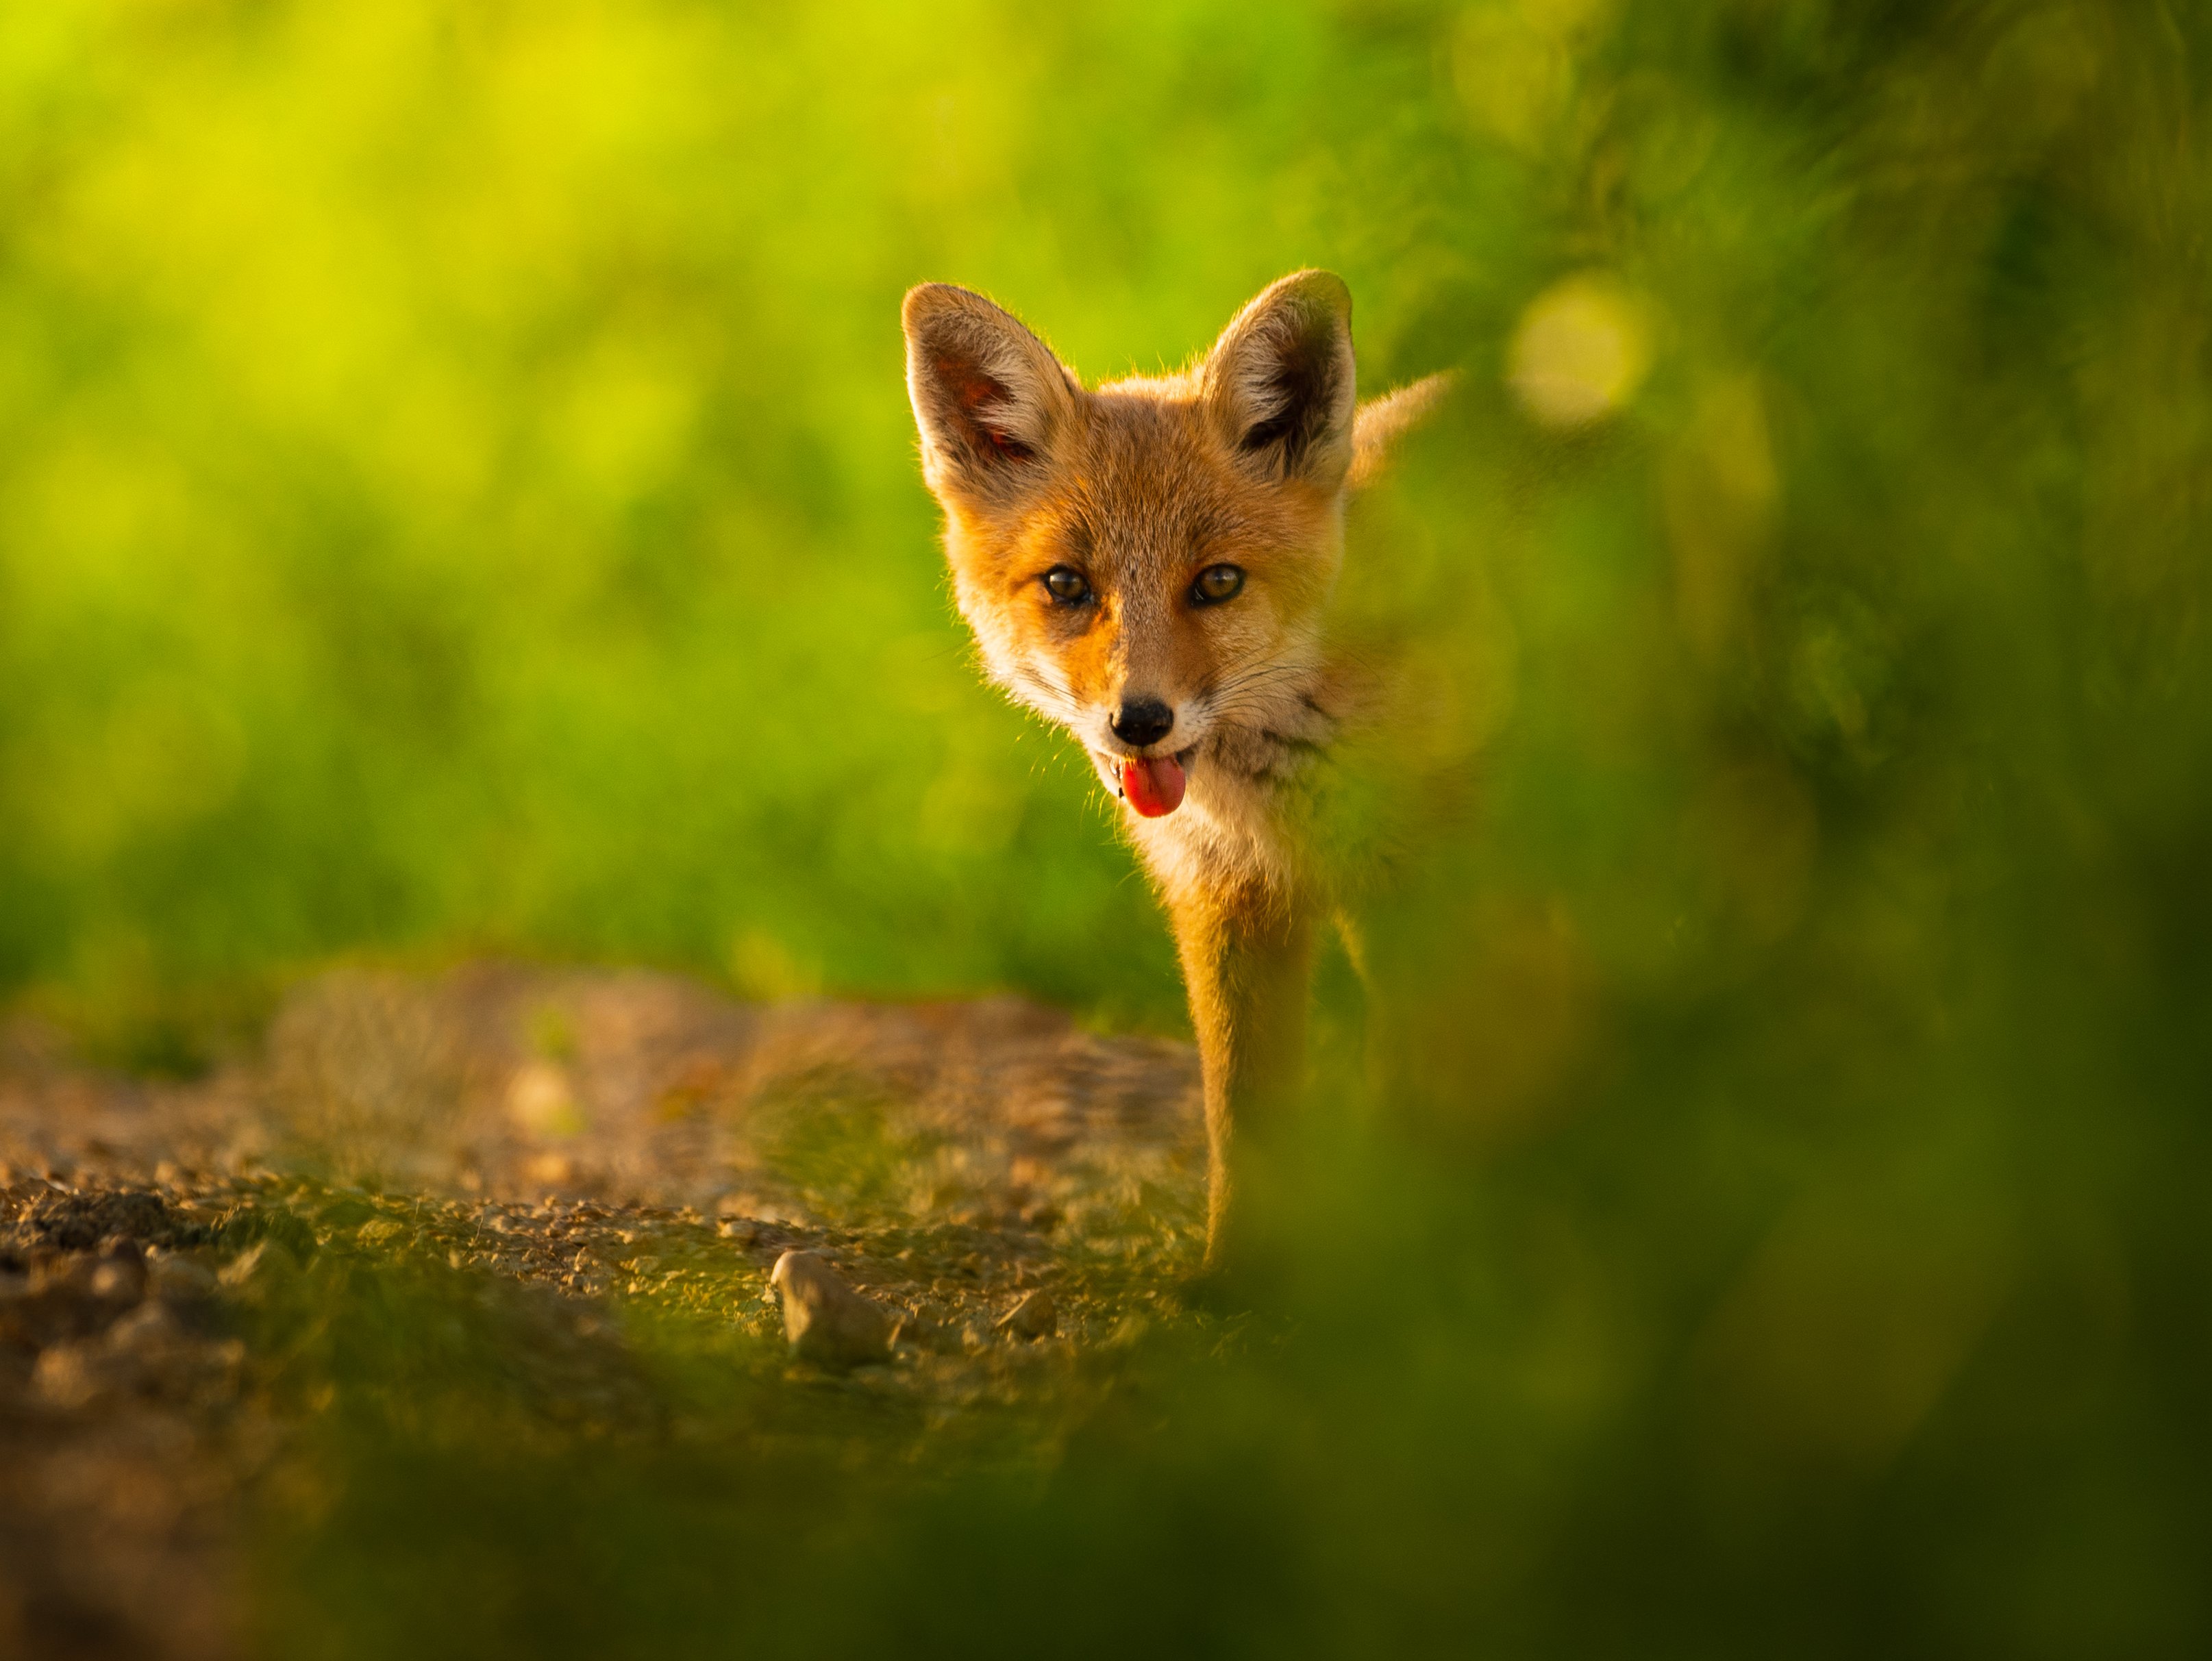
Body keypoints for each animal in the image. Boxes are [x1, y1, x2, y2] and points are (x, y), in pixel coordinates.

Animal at [902, 269, 1451, 1273]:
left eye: (1218, 583)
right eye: (1067, 585)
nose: (1139, 722)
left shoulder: (1418, 888)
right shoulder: (1226, 894)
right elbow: (1244, 1117)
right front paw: (1235, 1277)